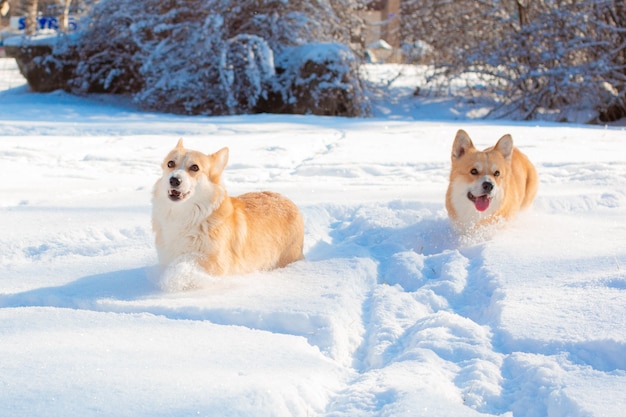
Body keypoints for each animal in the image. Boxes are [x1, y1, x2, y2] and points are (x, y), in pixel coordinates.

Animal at [154, 139, 304, 276]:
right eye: (170, 164)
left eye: (195, 167)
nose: (174, 180)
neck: (184, 215)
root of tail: (288, 200)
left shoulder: (213, 264)